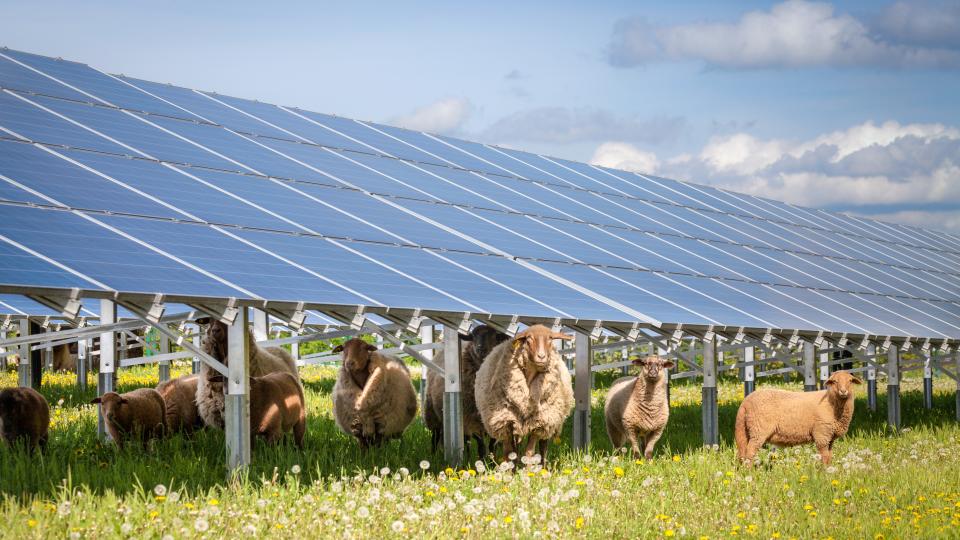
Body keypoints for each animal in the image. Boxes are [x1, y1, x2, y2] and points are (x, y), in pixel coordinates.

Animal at [422, 322, 506, 458]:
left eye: (494, 336)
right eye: (473, 336)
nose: (480, 348)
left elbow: (491, 445)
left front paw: (492, 460)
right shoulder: (471, 418)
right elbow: (481, 445)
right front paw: (483, 461)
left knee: (465, 440)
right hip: (432, 412)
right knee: (435, 436)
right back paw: (433, 455)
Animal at [474, 322, 572, 462]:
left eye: (550, 339)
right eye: (528, 339)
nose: (541, 357)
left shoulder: (538, 423)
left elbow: (529, 453)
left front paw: (529, 467)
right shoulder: (507, 422)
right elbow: (509, 453)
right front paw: (509, 468)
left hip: (549, 419)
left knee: (543, 447)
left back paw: (543, 465)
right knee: (515, 449)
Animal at [736, 370, 864, 466]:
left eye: (850, 381)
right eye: (834, 381)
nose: (843, 391)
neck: (831, 403)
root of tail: (746, 401)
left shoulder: (830, 437)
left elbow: (829, 456)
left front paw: (828, 469)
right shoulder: (821, 434)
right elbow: (824, 456)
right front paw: (824, 473)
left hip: (747, 430)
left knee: (744, 451)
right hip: (759, 430)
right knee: (750, 451)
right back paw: (749, 471)